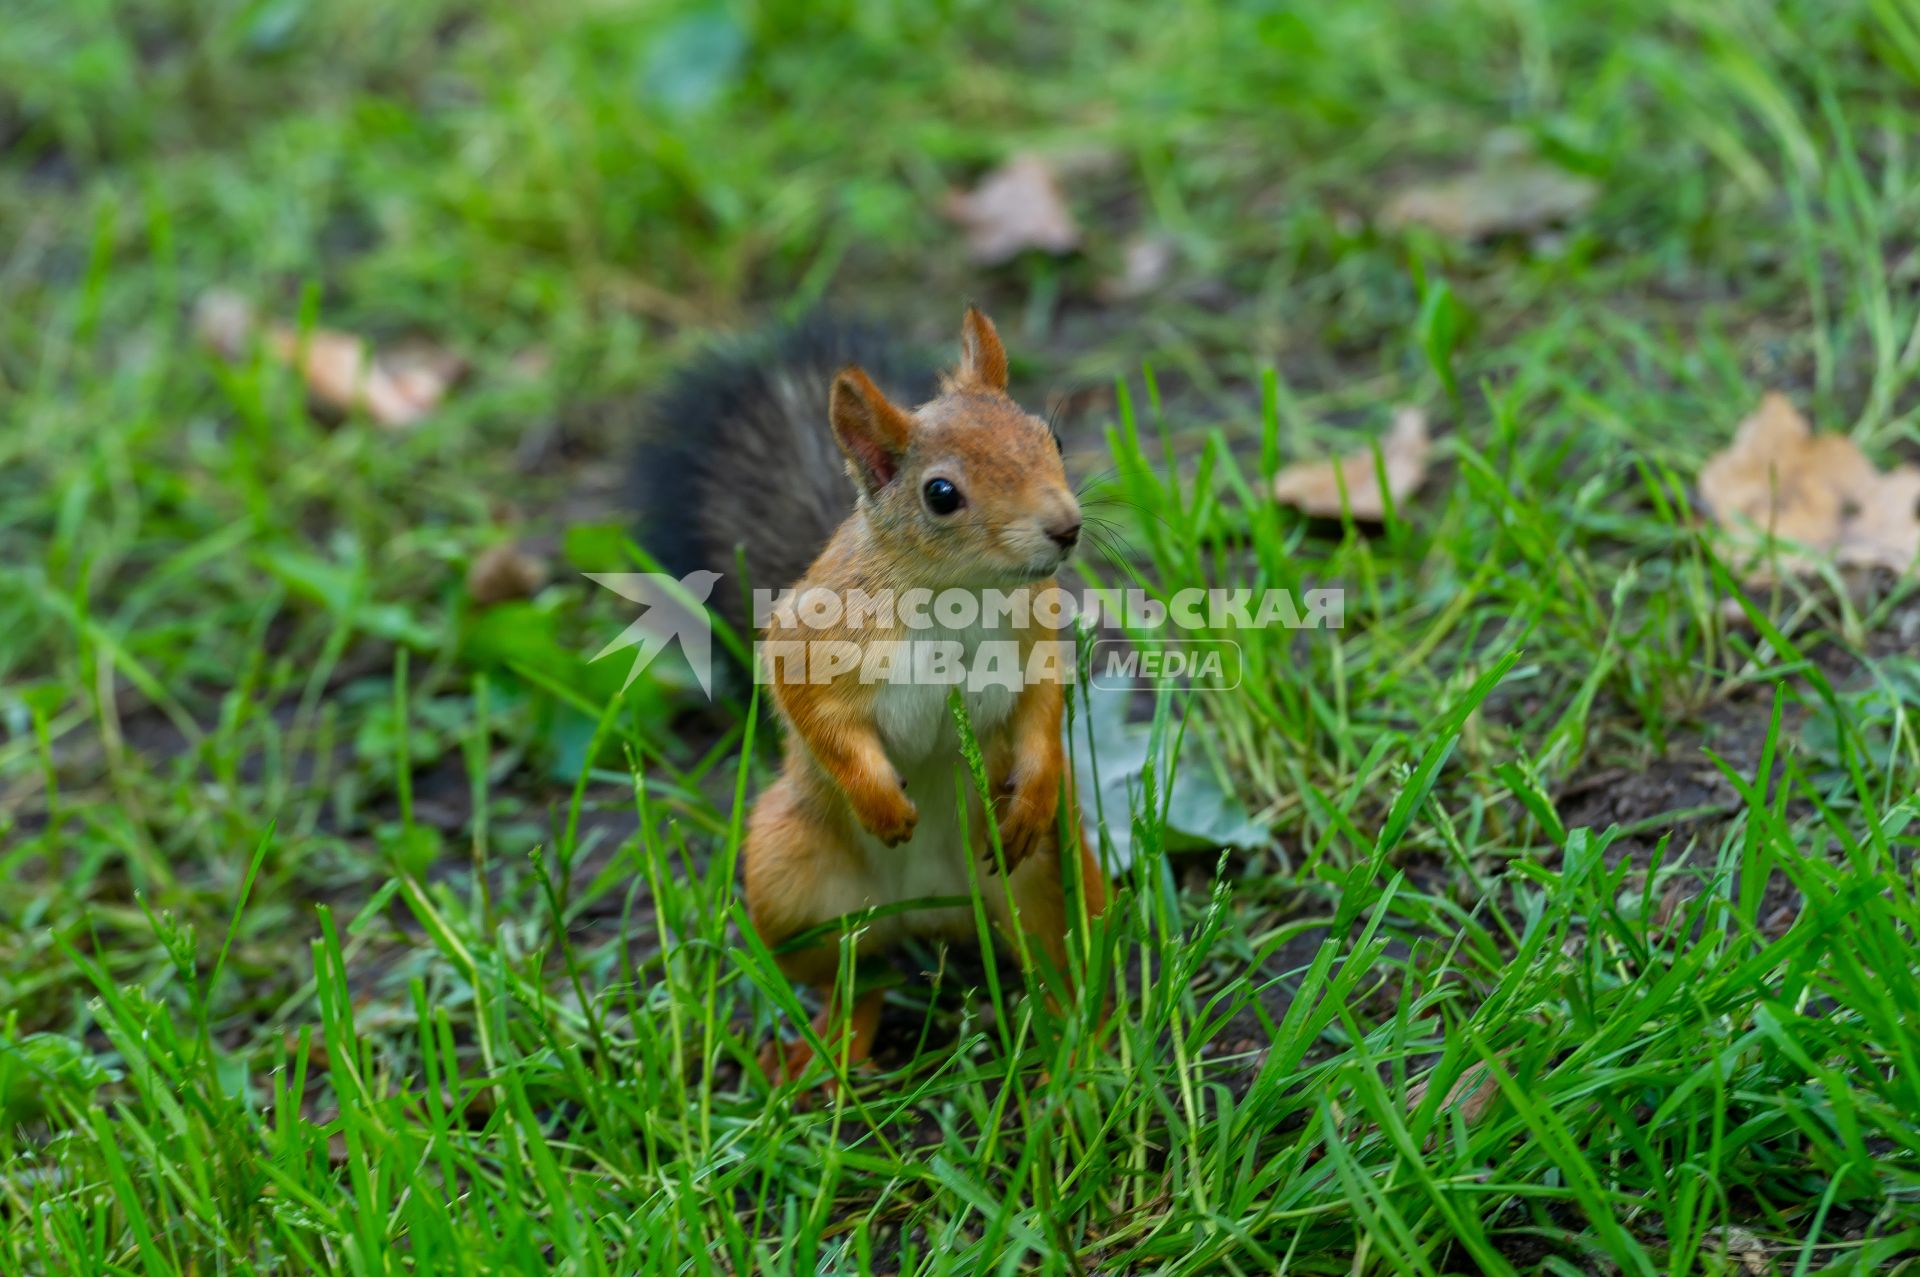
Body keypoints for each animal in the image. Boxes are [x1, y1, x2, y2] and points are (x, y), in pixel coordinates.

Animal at [629, 307, 1113, 1075]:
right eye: (941, 494)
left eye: (1051, 437)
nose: (1066, 528)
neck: (956, 594)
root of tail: (939, 907)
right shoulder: (811, 640)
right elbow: (813, 713)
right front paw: (879, 799)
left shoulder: (1036, 636)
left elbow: (1041, 709)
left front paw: (1035, 786)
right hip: (789, 885)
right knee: (856, 977)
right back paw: (824, 1058)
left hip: (1051, 876)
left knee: (1061, 963)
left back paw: (1083, 1049)